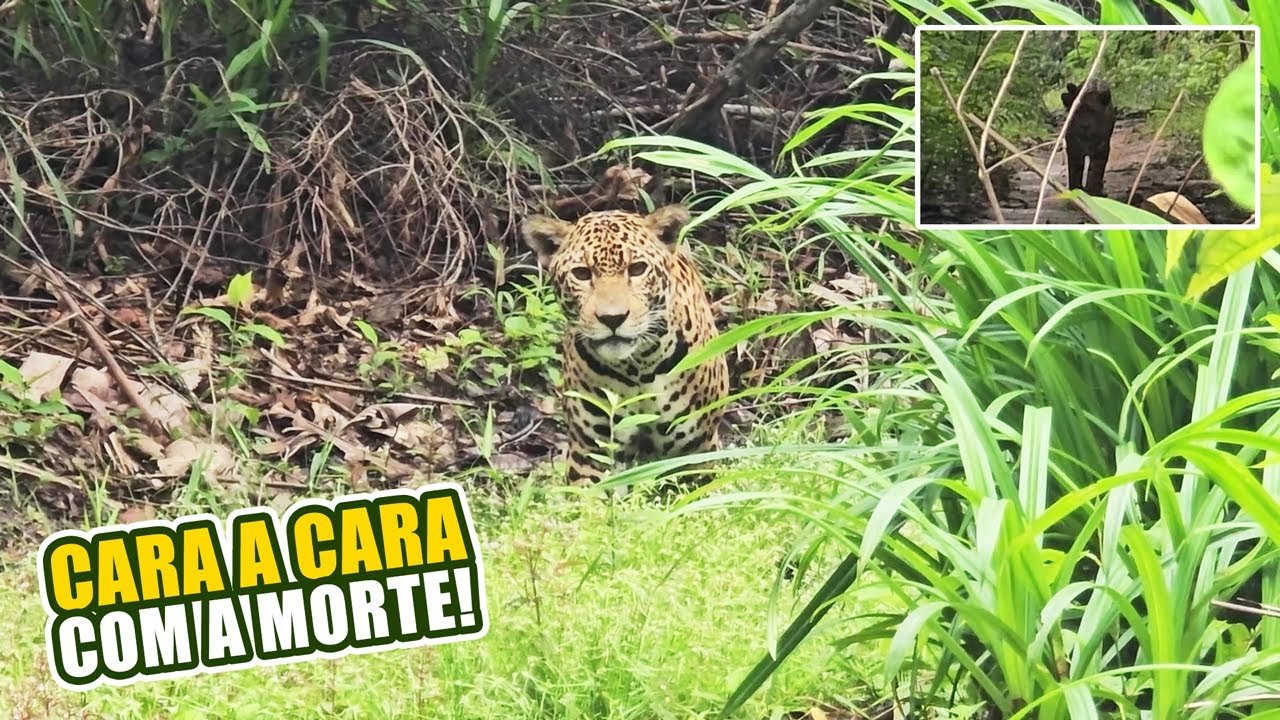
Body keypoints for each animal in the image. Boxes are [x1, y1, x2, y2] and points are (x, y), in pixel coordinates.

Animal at [520, 206, 729, 485]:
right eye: (582, 273)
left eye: (638, 269)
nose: (613, 318)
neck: (639, 369)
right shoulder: (592, 452)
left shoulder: (696, 449)